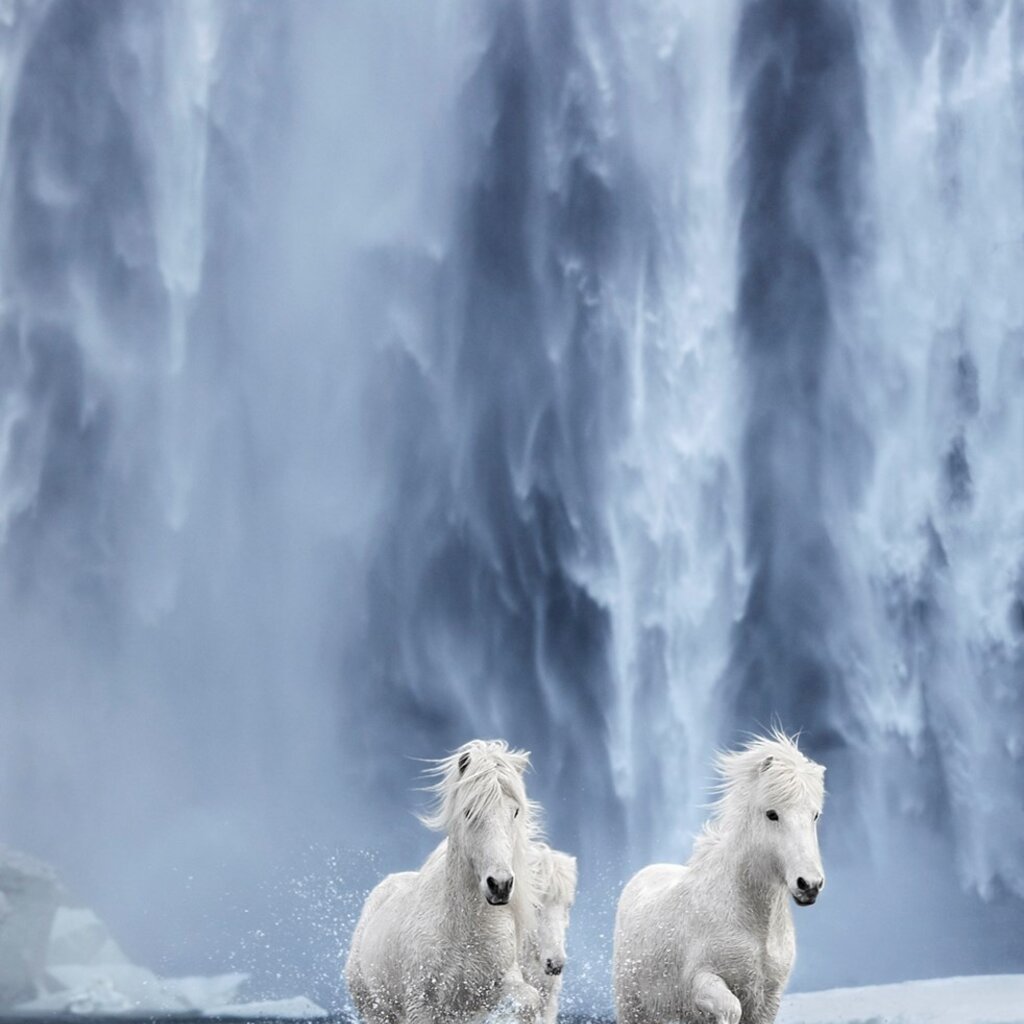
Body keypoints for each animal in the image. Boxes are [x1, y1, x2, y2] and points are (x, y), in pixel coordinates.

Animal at [345, 740, 543, 1024]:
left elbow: (530, 999)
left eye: (515, 811)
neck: (465, 931)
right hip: (375, 1011)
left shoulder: (488, 992)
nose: (500, 885)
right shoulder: (421, 1004)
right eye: (469, 811)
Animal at [613, 731, 826, 1024]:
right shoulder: (701, 981)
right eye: (772, 814)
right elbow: (730, 1008)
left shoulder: (768, 999)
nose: (809, 885)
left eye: (814, 814)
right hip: (632, 1008)